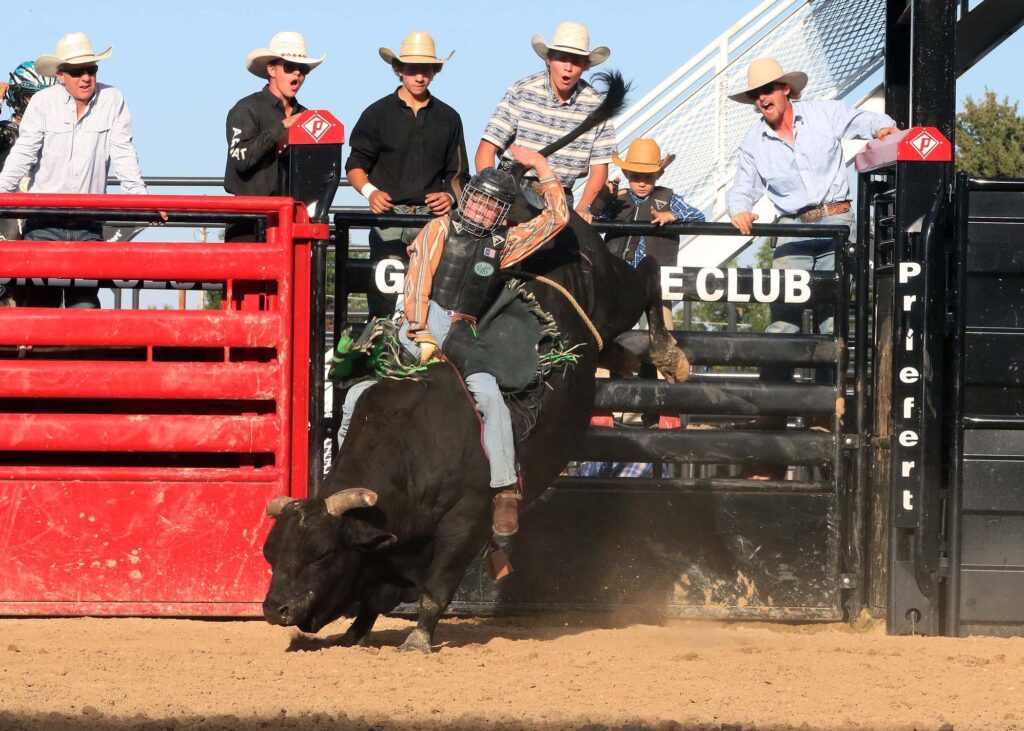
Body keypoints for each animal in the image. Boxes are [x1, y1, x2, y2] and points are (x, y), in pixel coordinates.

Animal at [261, 73, 691, 653]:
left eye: (324, 553)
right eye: (274, 550)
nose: (275, 608)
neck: (414, 446)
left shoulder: (464, 523)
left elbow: (436, 588)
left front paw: (418, 637)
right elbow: (373, 594)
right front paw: (354, 631)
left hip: (611, 285)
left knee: (646, 280)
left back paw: (670, 354)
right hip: (600, 328)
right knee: (616, 342)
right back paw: (645, 366)